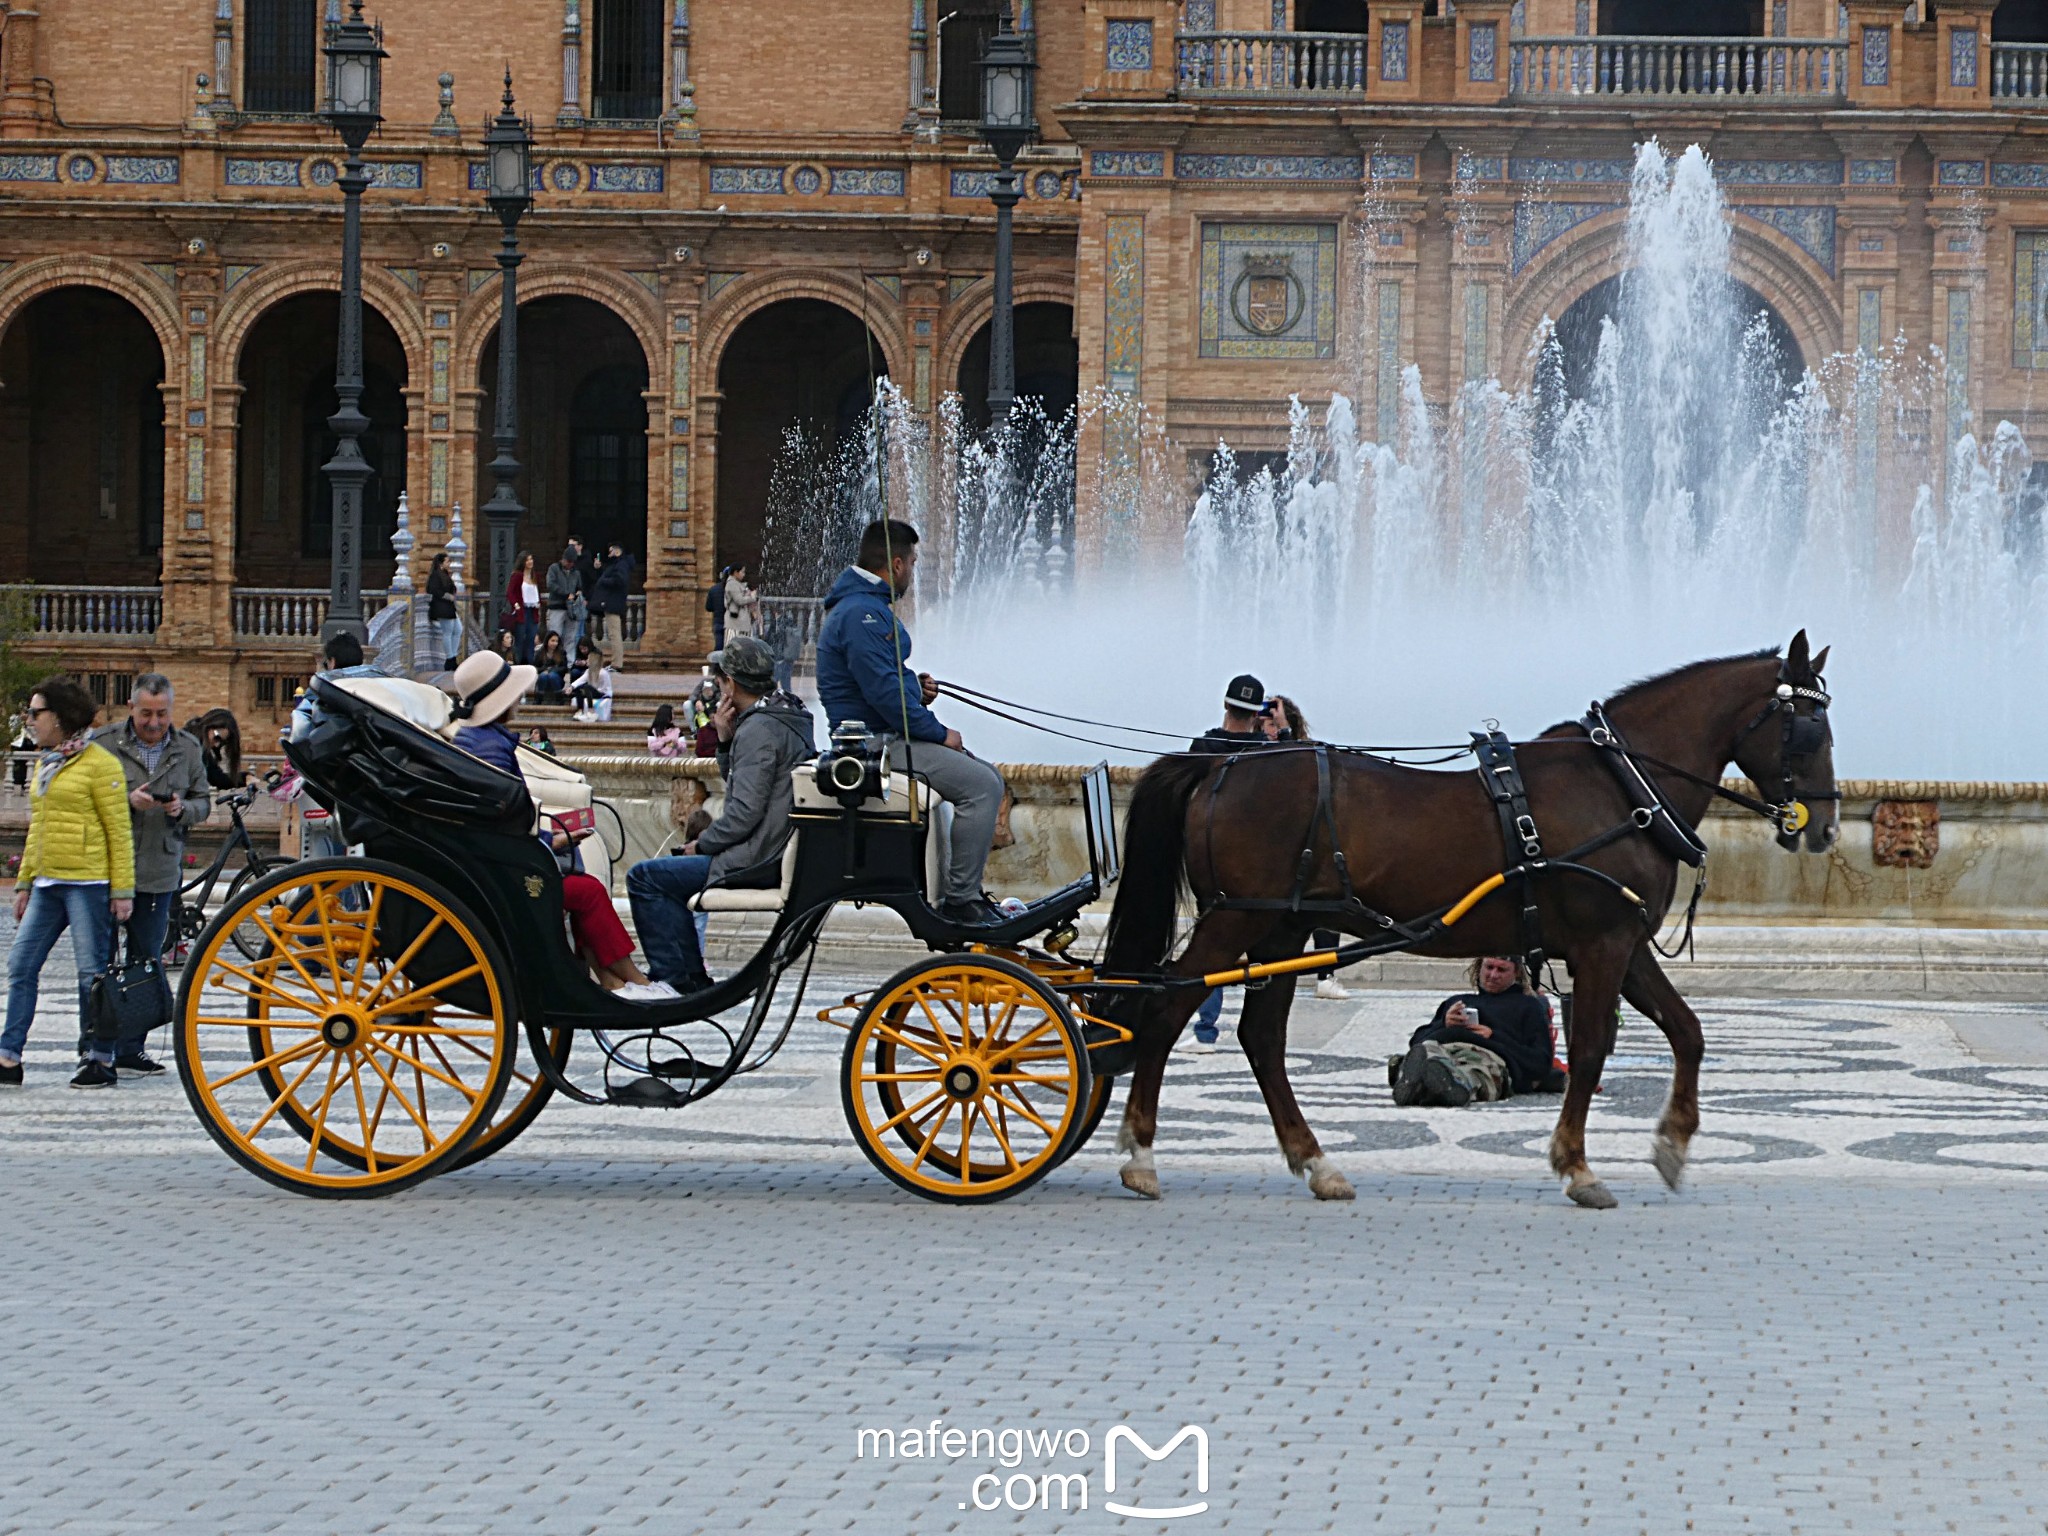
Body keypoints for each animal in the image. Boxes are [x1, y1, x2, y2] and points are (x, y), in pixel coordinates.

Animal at [1105, 630, 1843, 1212]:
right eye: (1809, 729)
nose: (1827, 828)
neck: (1622, 785)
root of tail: (1221, 764)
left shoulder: (1626, 947)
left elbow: (1687, 1032)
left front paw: (1672, 1144)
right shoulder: (1602, 945)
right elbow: (1592, 1049)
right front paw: (1577, 1166)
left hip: (1282, 929)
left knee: (1262, 1037)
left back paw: (1316, 1161)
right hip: (1232, 924)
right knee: (1165, 1012)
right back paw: (1140, 1155)